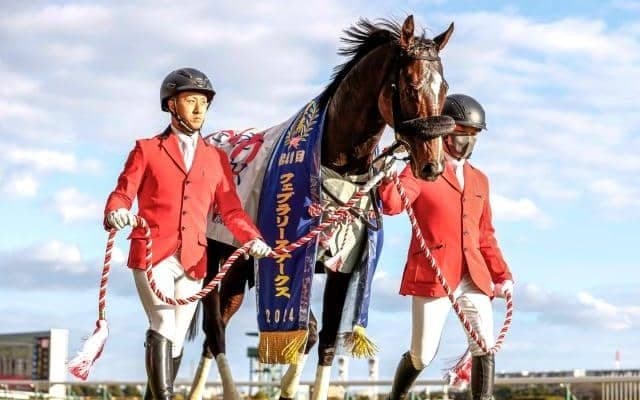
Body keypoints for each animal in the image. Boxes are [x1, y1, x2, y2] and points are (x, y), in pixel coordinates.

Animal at [187, 15, 454, 400]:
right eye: (411, 85)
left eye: (444, 87)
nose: (432, 164)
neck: (336, 162)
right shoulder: (295, 254)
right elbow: (309, 332)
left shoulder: (343, 264)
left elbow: (323, 338)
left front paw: (291, 387)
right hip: (215, 255)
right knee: (214, 327)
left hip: (241, 267)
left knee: (221, 324)